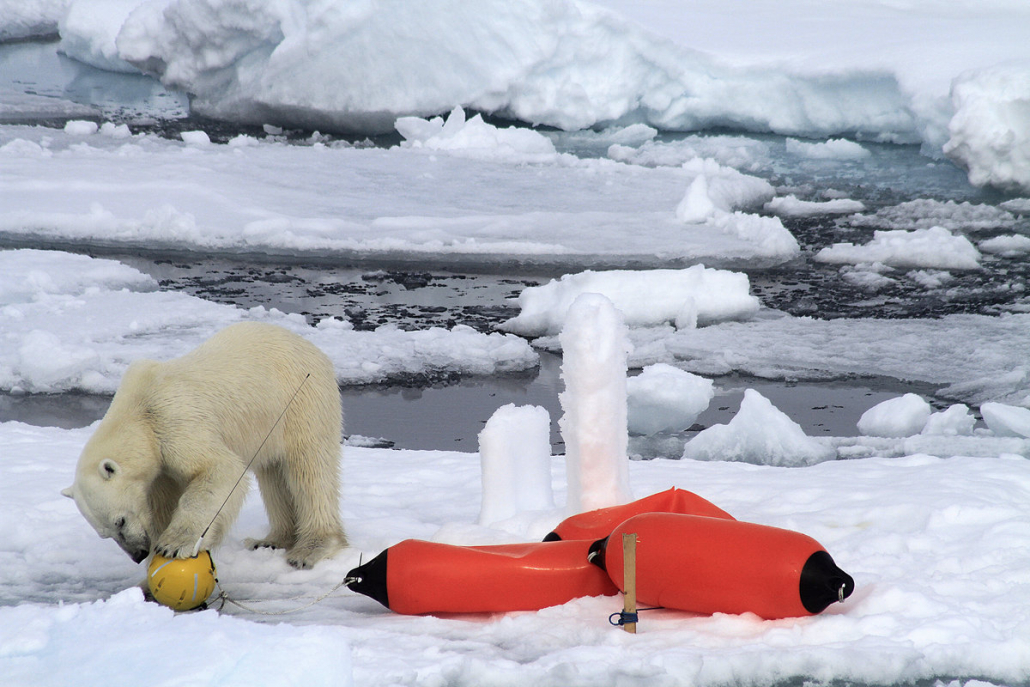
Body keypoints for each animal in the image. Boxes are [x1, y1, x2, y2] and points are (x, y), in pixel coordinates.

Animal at [63, 323, 346, 568]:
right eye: (104, 533)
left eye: (119, 521)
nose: (138, 554)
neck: (139, 410)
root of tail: (310, 346)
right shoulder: (159, 466)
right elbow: (163, 501)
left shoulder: (175, 423)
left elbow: (219, 469)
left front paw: (174, 544)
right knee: (273, 474)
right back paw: (271, 540)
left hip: (300, 400)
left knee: (309, 470)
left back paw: (311, 548)